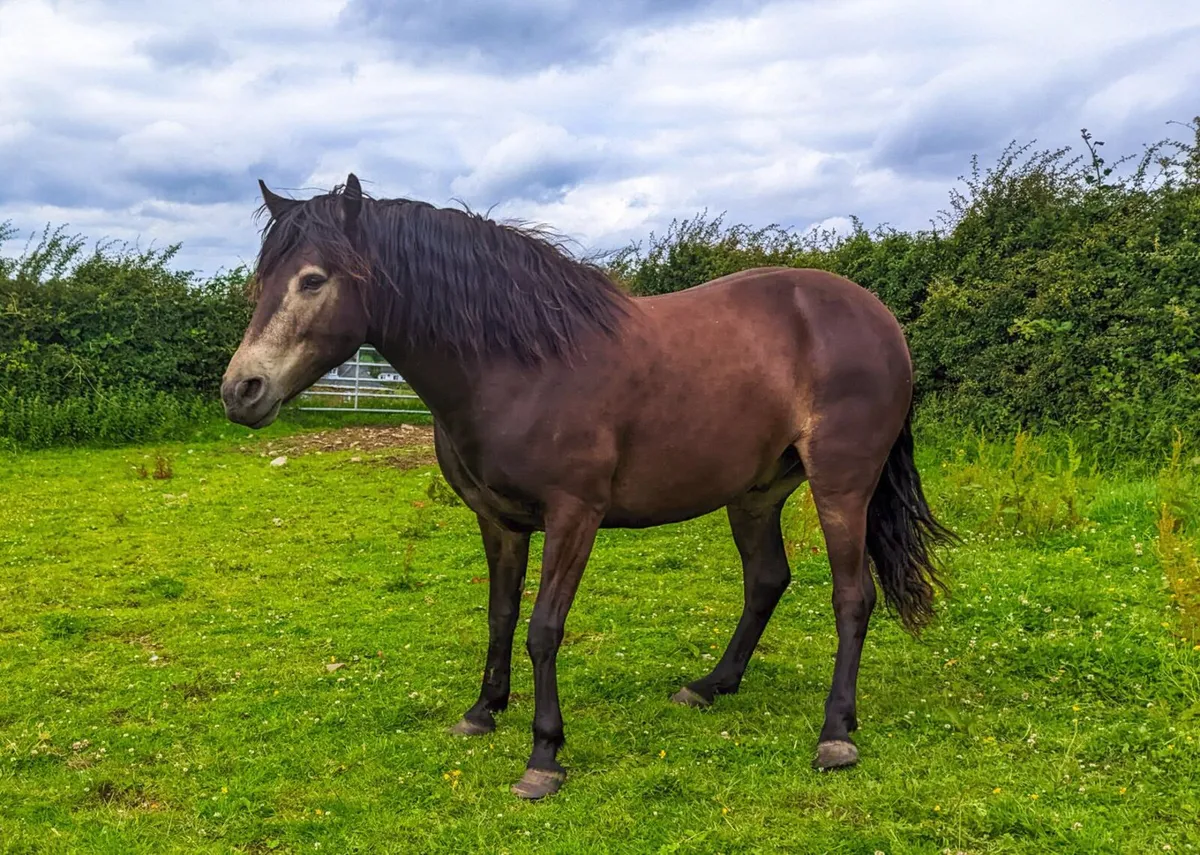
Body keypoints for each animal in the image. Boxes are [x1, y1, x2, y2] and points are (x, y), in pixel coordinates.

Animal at [221, 174, 956, 800]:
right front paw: (483, 711)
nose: (241, 390)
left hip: (841, 487)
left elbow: (544, 627)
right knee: (767, 581)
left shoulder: (574, 516)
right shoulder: (500, 520)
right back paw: (710, 685)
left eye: (313, 279)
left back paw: (836, 733)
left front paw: (544, 757)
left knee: (852, 597)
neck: (520, 363)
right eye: (263, 279)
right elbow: (501, 614)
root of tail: (877, 317)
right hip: (755, 493)